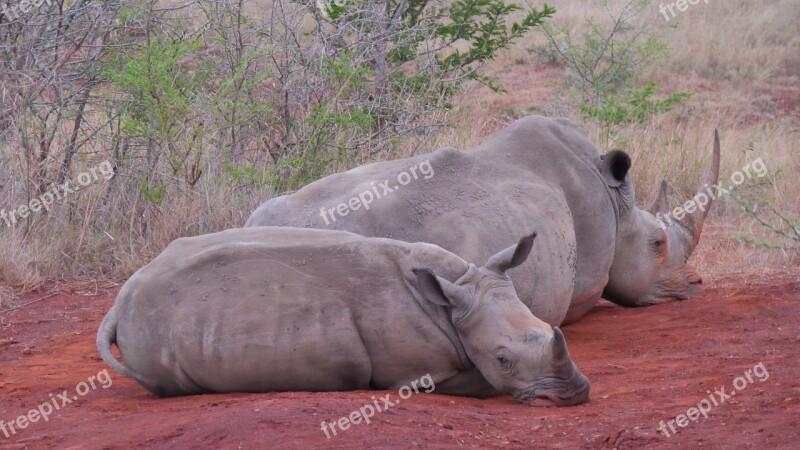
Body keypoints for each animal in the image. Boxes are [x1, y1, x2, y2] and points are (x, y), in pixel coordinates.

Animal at [97, 227, 592, 406]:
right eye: (503, 359)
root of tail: (117, 306)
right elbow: (483, 383)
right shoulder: (419, 374)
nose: (574, 395)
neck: (454, 300)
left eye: (548, 328)